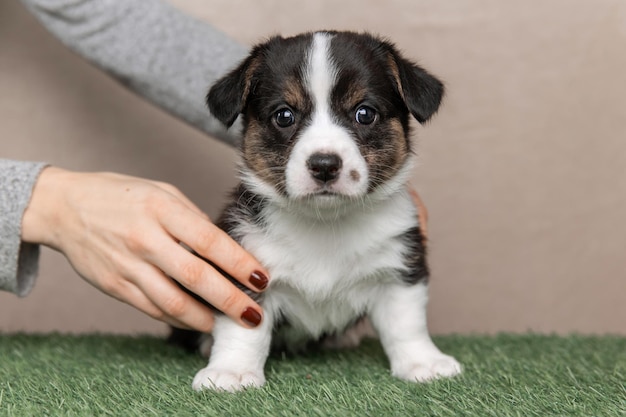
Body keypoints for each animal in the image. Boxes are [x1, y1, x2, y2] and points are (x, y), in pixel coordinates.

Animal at [176, 31, 458, 390]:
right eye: (284, 116)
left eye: (365, 113)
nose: (324, 165)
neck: (325, 222)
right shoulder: (245, 268)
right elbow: (244, 328)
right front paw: (232, 371)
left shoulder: (400, 270)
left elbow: (407, 323)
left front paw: (423, 362)